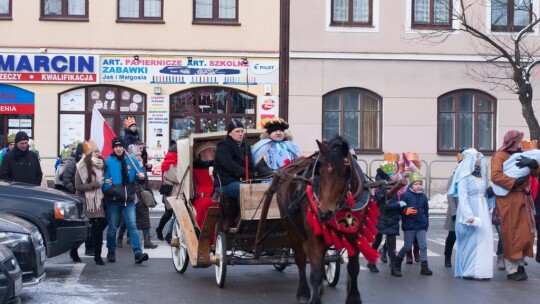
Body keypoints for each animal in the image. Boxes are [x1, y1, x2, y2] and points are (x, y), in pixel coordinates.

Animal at [274, 137, 380, 304]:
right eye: (320, 172)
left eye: (343, 174)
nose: (324, 212)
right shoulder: (314, 236)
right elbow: (315, 271)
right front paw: (314, 298)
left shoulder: (354, 234)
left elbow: (353, 268)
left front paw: (354, 297)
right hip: (291, 227)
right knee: (301, 259)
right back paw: (303, 291)